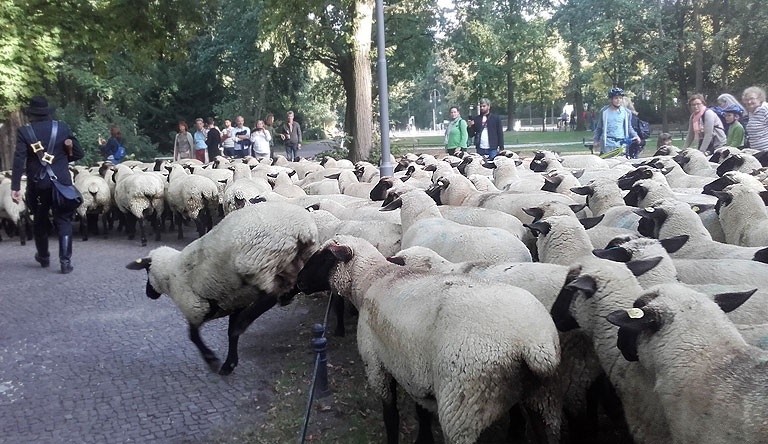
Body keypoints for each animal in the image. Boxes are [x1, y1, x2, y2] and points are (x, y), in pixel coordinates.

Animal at [126, 204, 318, 374]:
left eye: (146, 270)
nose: (149, 294)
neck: (170, 273)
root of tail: (302, 228)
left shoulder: (195, 308)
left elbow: (193, 336)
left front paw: (211, 359)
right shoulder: (236, 301)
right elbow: (230, 334)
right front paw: (229, 363)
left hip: (256, 262)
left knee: (271, 295)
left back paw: (245, 321)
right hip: (295, 261)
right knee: (292, 284)